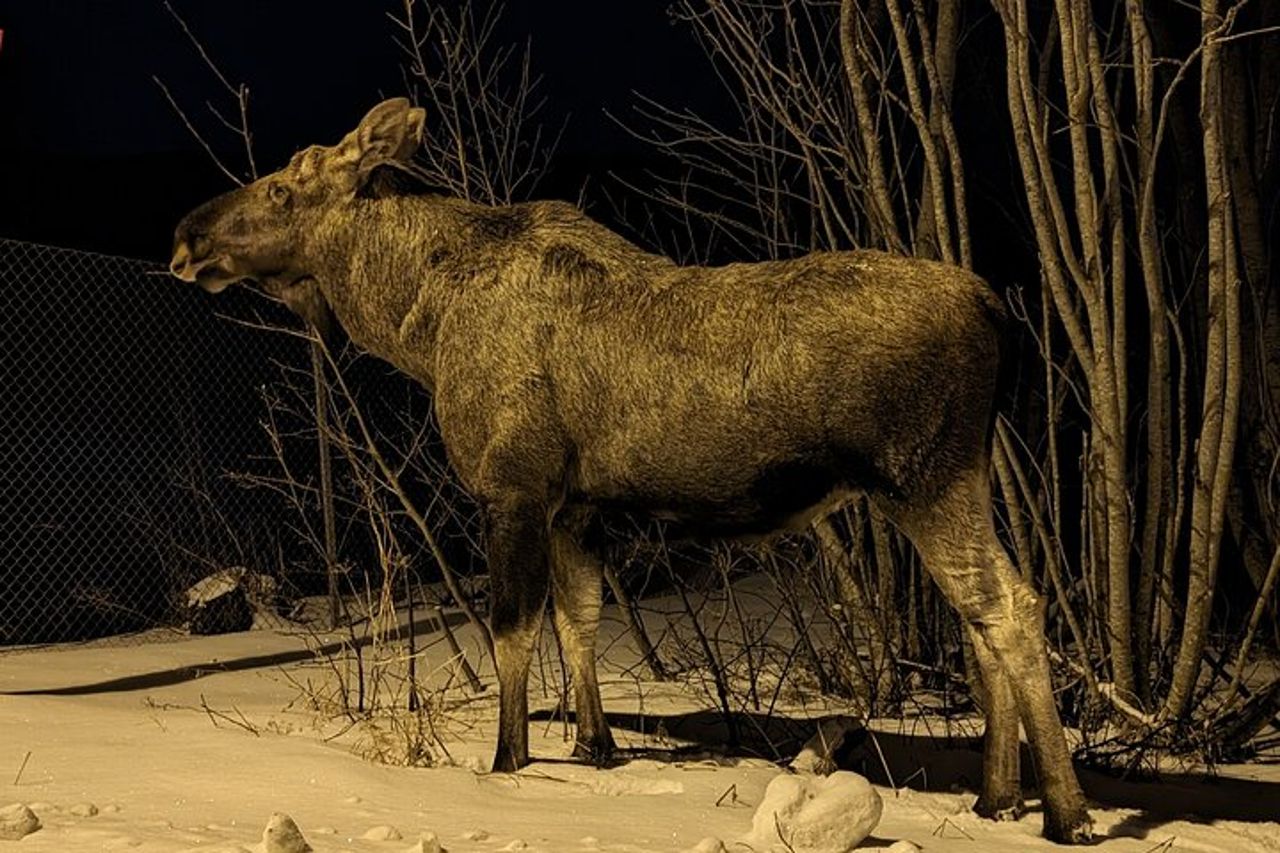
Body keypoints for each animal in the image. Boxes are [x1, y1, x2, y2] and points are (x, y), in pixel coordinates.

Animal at [170, 98, 1092, 843]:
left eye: (283, 188)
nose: (185, 236)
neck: (415, 323)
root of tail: (999, 313)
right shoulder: (578, 504)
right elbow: (578, 617)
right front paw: (594, 745)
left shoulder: (513, 484)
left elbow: (513, 629)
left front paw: (508, 761)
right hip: (953, 476)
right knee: (980, 616)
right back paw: (996, 800)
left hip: (925, 474)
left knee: (1011, 606)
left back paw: (1065, 812)